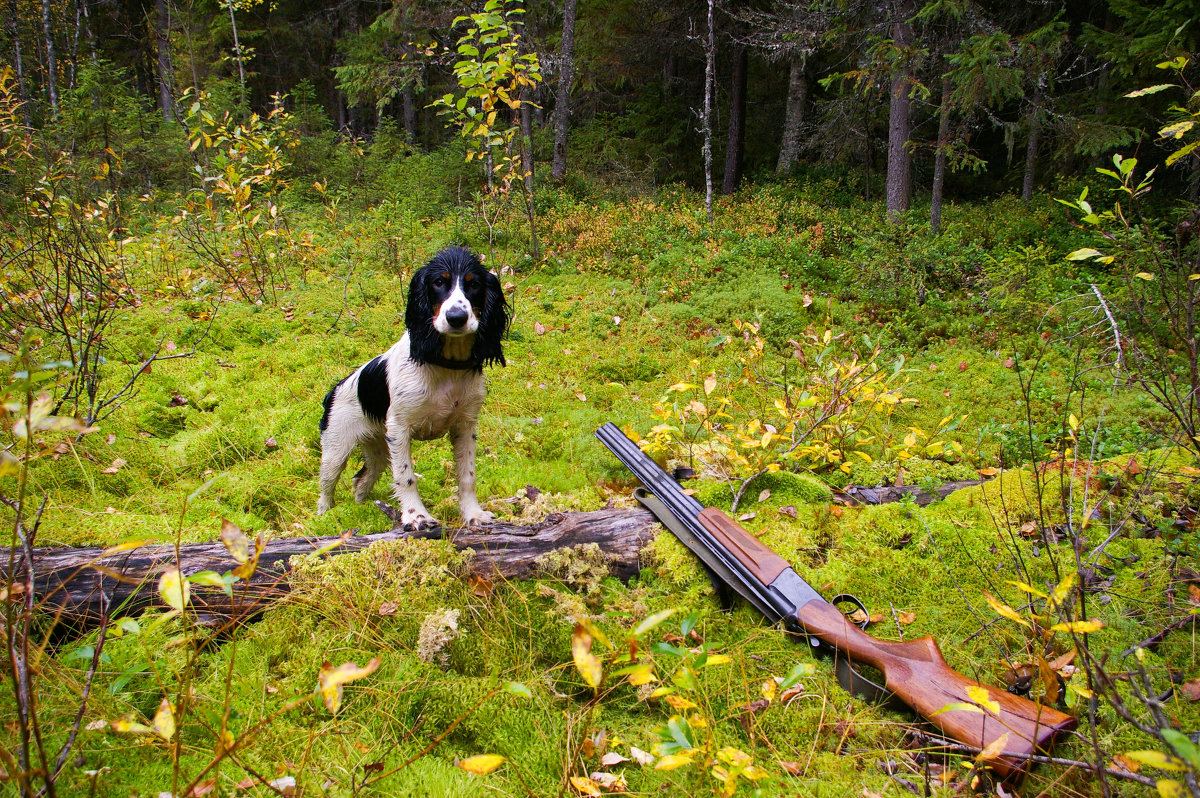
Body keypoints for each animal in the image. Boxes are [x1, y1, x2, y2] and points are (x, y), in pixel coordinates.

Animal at [316, 246, 508, 525]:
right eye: (438, 282)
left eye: (474, 285)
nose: (456, 318)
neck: (445, 365)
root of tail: (335, 389)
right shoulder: (399, 429)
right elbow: (406, 477)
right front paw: (417, 516)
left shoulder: (465, 425)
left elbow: (467, 475)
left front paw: (473, 514)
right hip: (336, 448)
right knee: (326, 487)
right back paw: (324, 519)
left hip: (377, 449)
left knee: (361, 480)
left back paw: (364, 511)